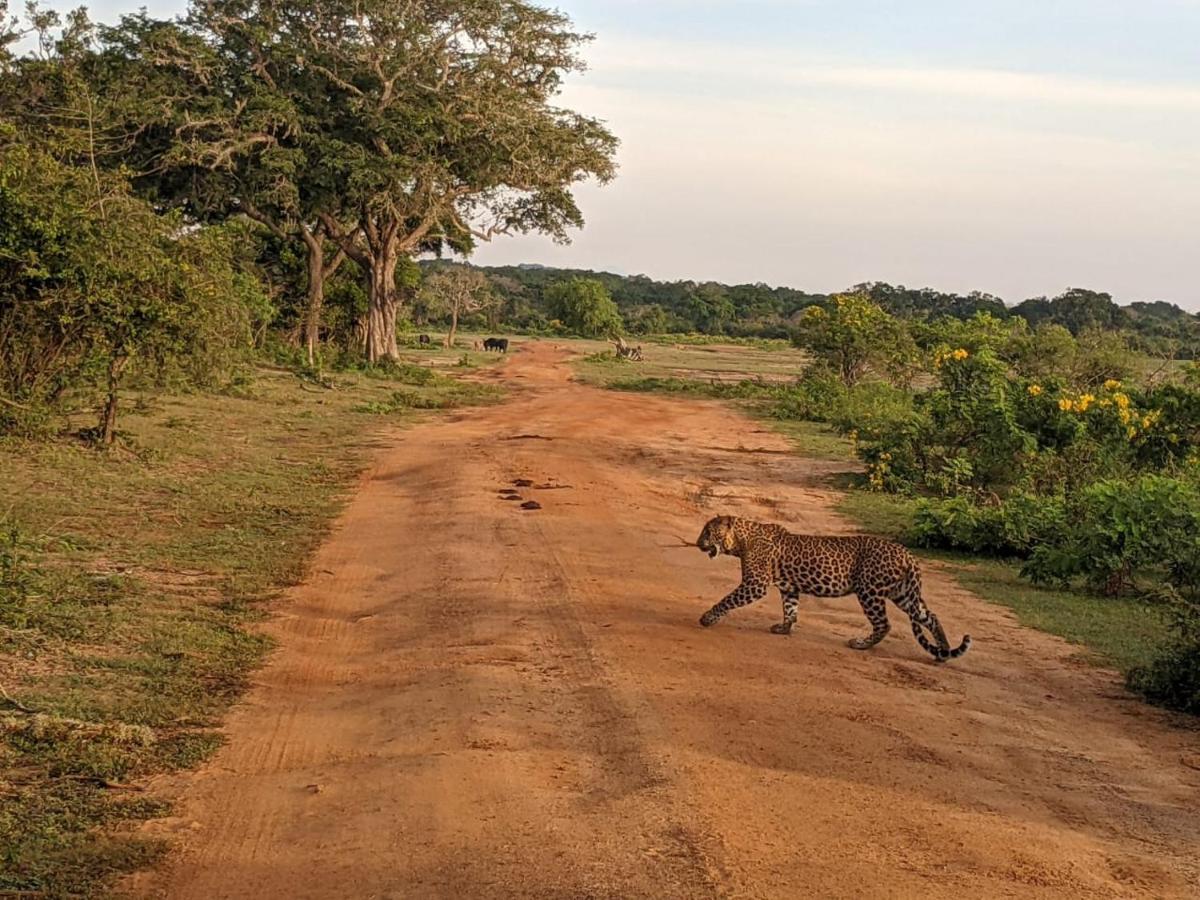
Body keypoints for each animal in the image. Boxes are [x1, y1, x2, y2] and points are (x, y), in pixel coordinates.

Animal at [700, 513, 969, 662]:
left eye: (707, 531)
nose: (697, 542)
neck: (741, 540)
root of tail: (908, 555)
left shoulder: (755, 584)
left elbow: (727, 599)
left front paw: (707, 618)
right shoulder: (790, 588)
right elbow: (790, 609)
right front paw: (784, 628)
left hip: (870, 592)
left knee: (884, 624)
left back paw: (861, 644)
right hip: (903, 594)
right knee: (930, 616)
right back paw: (943, 651)